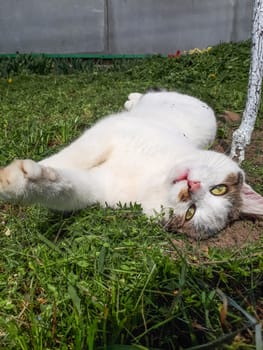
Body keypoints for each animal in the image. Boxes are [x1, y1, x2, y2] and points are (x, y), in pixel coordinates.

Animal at [0, 90, 263, 239]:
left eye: (190, 213)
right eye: (220, 189)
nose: (191, 187)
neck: (152, 175)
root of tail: (209, 109)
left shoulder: (95, 188)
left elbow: (63, 188)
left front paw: (21, 183)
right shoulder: (108, 133)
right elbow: (71, 157)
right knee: (148, 95)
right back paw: (133, 99)